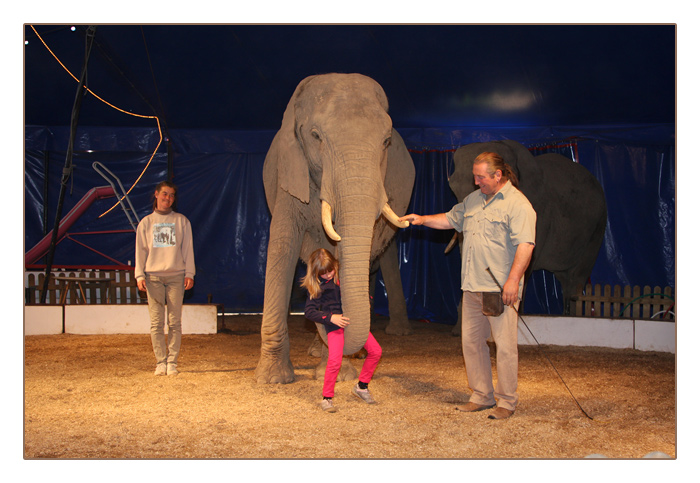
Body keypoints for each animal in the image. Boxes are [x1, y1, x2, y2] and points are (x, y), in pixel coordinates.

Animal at [256, 73, 416, 384]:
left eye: (386, 141)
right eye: (316, 136)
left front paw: (338, 373)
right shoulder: (290, 174)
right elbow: (281, 247)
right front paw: (273, 379)